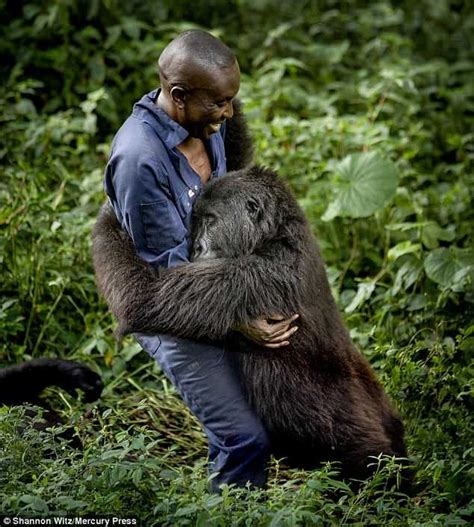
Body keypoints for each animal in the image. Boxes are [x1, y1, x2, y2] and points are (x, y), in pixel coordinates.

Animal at [90, 163, 410, 484]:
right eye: (196, 222)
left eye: (210, 221)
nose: (196, 248)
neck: (275, 232)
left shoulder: (256, 273)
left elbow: (143, 299)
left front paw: (107, 215)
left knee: (371, 464)